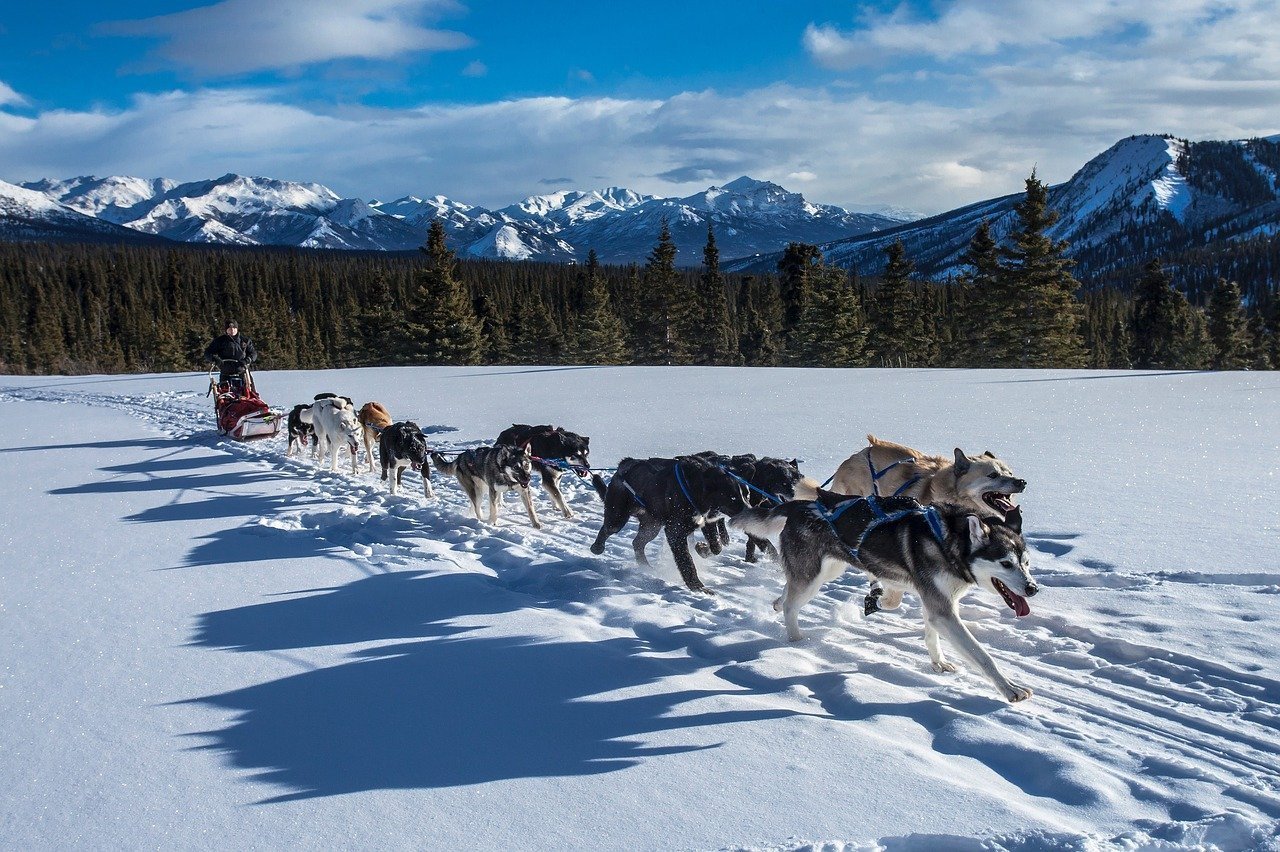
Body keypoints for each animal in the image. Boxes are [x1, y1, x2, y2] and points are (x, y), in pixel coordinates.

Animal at [588, 455, 747, 593]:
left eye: (746, 494)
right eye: (732, 497)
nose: (749, 510)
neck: (694, 487)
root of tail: (624, 464)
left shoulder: (707, 522)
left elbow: (716, 546)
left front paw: (702, 548)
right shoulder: (675, 532)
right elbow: (687, 561)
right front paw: (697, 586)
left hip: (651, 527)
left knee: (637, 543)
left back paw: (645, 566)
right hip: (617, 518)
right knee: (607, 529)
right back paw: (597, 547)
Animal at [732, 493, 1039, 701]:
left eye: (1025, 563)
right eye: (1006, 564)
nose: (1033, 588)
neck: (949, 542)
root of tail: (801, 504)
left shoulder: (936, 604)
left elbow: (929, 633)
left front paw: (937, 662)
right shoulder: (942, 609)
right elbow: (982, 656)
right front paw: (1009, 689)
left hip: (826, 571)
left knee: (788, 592)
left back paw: (777, 602)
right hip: (812, 579)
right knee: (791, 606)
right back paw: (796, 640)